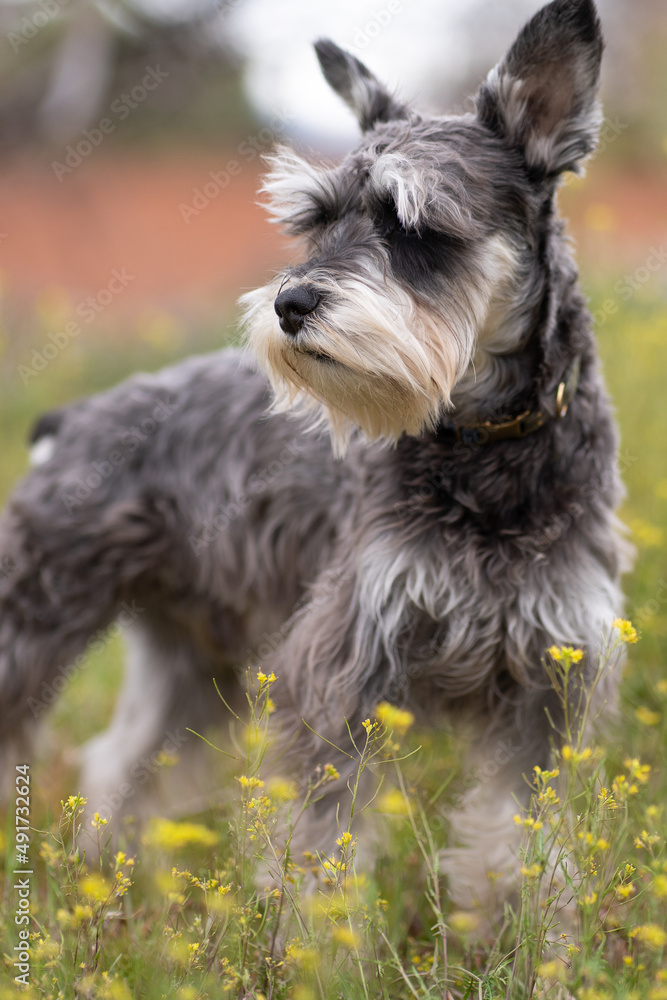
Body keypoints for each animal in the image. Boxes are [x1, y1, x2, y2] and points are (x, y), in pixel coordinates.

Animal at [0, 0, 628, 920]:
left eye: (414, 224)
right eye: (316, 219)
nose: (290, 303)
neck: (487, 456)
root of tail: (74, 418)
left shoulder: (547, 686)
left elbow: (518, 836)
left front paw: (519, 934)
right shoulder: (340, 672)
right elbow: (322, 836)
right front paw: (317, 938)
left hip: (195, 664)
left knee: (120, 767)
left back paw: (109, 890)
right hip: (35, 623)